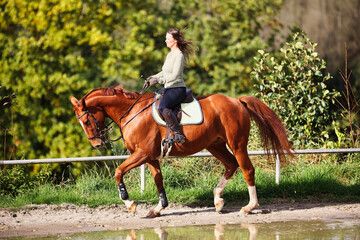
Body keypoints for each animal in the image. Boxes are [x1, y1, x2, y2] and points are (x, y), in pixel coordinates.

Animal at [69, 86, 292, 218]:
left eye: (86, 120)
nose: (97, 143)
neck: (132, 112)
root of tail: (236, 101)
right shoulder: (150, 157)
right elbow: (158, 179)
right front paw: (159, 208)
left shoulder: (142, 154)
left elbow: (118, 172)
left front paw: (129, 203)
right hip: (215, 145)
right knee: (231, 165)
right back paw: (218, 200)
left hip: (237, 144)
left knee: (247, 169)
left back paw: (249, 206)